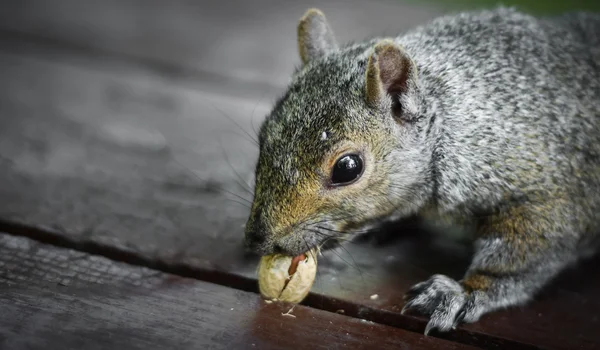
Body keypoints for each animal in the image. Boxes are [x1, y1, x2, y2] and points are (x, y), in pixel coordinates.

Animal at [243, 5, 600, 334]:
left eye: (347, 168)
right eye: (264, 135)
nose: (257, 240)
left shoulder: (543, 189)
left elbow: (525, 252)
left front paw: (462, 292)